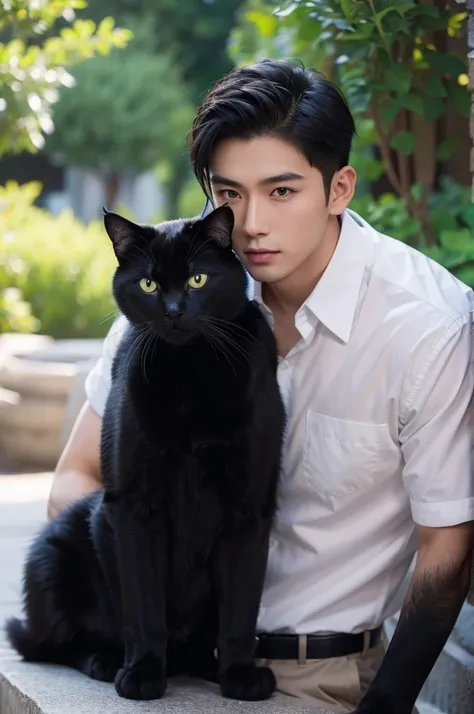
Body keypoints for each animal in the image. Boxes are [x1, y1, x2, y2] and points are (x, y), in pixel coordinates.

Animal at [5, 204, 286, 700]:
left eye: (197, 279)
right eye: (148, 284)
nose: (173, 311)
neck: (191, 373)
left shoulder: (249, 507)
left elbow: (240, 608)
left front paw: (239, 675)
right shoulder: (133, 504)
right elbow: (143, 604)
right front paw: (142, 674)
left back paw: (204, 663)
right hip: (53, 550)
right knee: (58, 644)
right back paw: (107, 660)